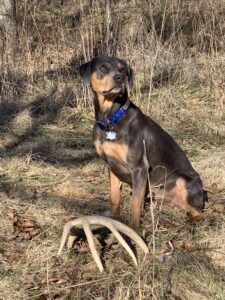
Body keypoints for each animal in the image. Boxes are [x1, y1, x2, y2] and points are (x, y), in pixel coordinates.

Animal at [79, 56, 206, 227]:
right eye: (103, 68)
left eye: (123, 69)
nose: (119, 78)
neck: (110, 119)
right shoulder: (112, 166)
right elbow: (114, 198)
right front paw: (113, 219)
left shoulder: (139, 167)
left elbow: (135, 204)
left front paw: (134, 228)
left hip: (183, 181)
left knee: (199, 212)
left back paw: (189, 221)